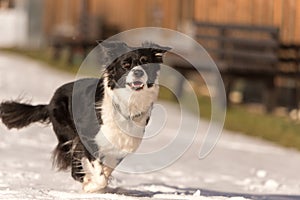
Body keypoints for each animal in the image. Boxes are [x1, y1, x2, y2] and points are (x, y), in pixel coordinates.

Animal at [0, 41, 170, 192]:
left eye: (146, 62)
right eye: (126, 65)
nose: (138, 72)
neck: (127, 103)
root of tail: (50, 102)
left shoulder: (122, 145)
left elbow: (107, 169)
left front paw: (95, 182)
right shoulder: (88, 139)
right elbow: (100, 175)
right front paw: (91, 185)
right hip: (67, 132)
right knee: (74, 165)